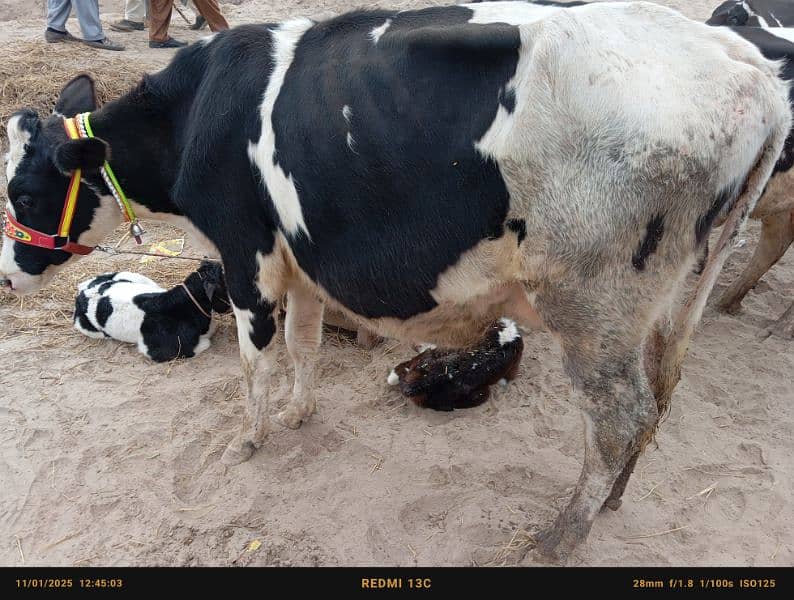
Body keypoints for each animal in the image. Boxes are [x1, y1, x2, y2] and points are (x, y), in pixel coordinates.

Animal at [72, 258, 229, 360]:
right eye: (224, 285)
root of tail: (83, 291)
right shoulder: (160, 350)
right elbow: (206, 342)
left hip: (132, 276)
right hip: (90, 329)